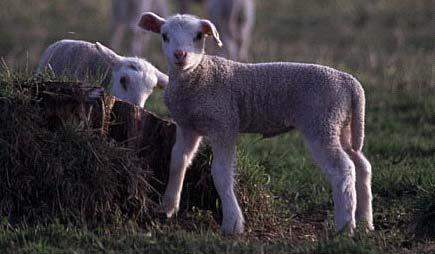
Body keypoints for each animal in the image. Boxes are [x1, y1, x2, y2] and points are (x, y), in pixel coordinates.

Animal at [140, 11, 374, 234]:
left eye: (198, 36)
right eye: (165, 36)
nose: (180, 55)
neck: (198, 75)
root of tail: (350, 82)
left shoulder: (224, 123)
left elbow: (221, 172)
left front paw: (232, 223)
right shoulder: (187, 126)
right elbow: (178, 161)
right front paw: (168, 207)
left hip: (321, 123)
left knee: (343, 168)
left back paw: (345, 225)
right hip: (341, 126)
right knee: (361, 164)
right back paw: (365, 221)